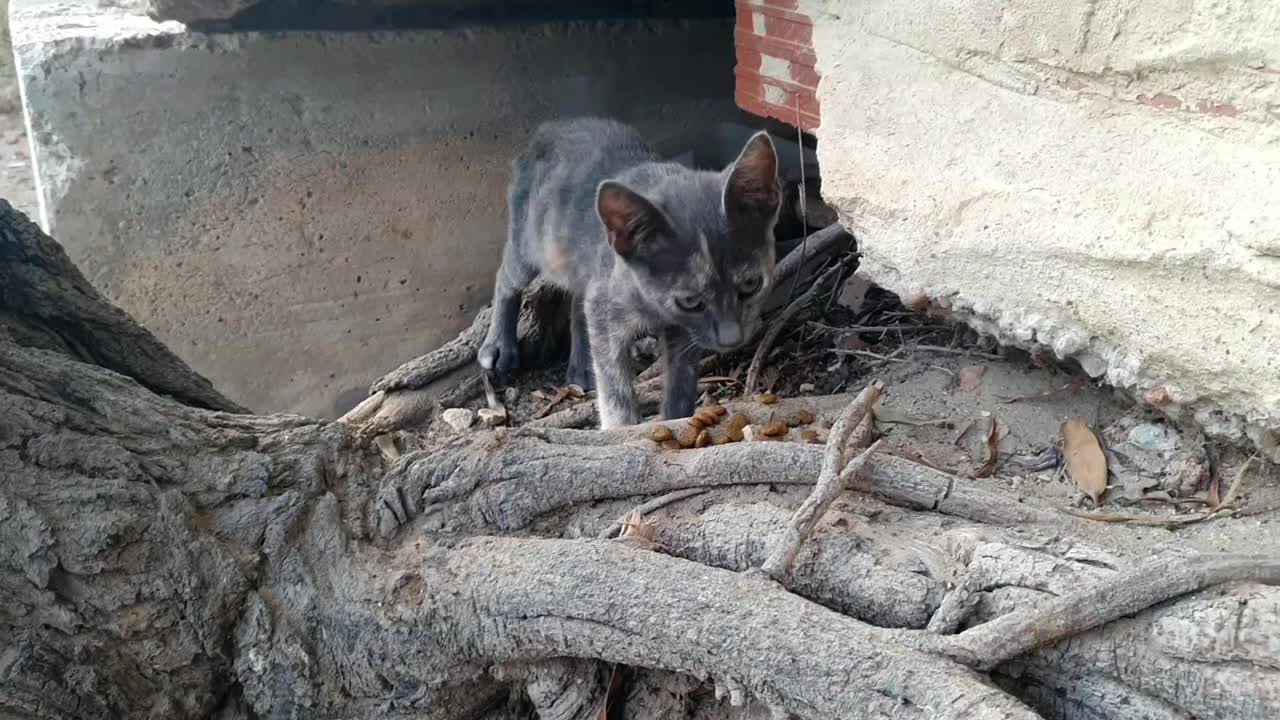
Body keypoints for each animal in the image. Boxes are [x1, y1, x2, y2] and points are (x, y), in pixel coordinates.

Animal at [481, 117, 778, 425]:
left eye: (751, 285)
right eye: (690, 301)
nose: (732, 339)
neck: (650, 303)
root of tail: (550, 126)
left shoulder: (684, 331)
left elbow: (681, 381)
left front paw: (675, 419)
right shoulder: (607, 307)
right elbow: (615, 388)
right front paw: (622, 428)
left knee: (578, 297)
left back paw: (581, 365)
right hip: (531, 243)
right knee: (507, 277)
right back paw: (498, 345)